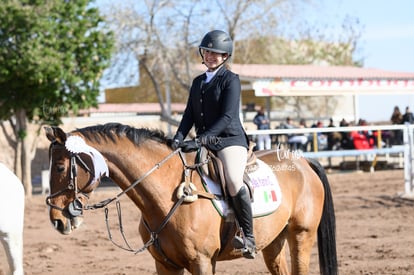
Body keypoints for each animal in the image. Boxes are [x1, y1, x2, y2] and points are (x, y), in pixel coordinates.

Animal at [44, 124, 336, 274]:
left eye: (59, 167)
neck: (164, 197)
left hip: (301, 235)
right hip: (273, 241)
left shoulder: (202, 262)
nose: (57, 220)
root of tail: (304, 162)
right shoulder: (165, 265)